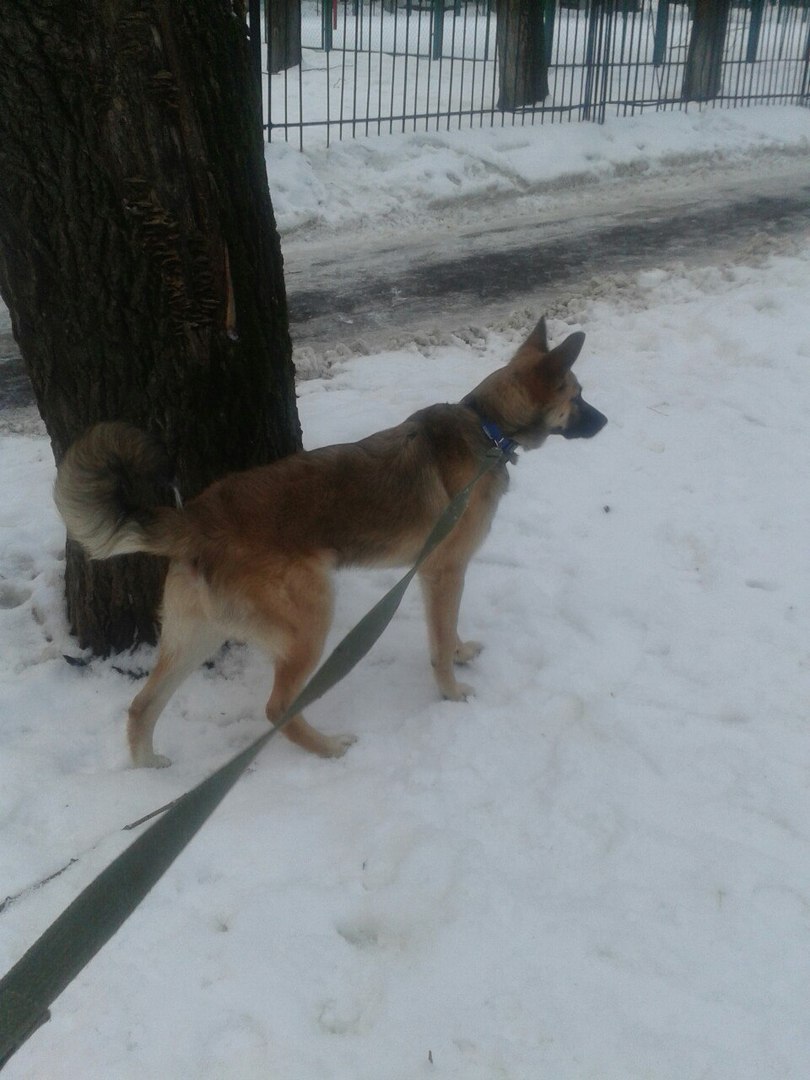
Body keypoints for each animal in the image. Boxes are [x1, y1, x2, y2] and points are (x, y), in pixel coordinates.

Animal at [54, 317, 604, 768]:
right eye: (577, 397)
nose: (604, 422)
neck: (487, 427)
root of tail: (197, 518)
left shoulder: (438, 577)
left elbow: (448, 634)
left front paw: (463, 650)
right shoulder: (443, 572)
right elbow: (439, 642)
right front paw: (451, 692)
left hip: (196, 634)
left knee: (142, 706)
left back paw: (149, 770)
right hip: (309, 621)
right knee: (276, 707)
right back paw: (329, 748)